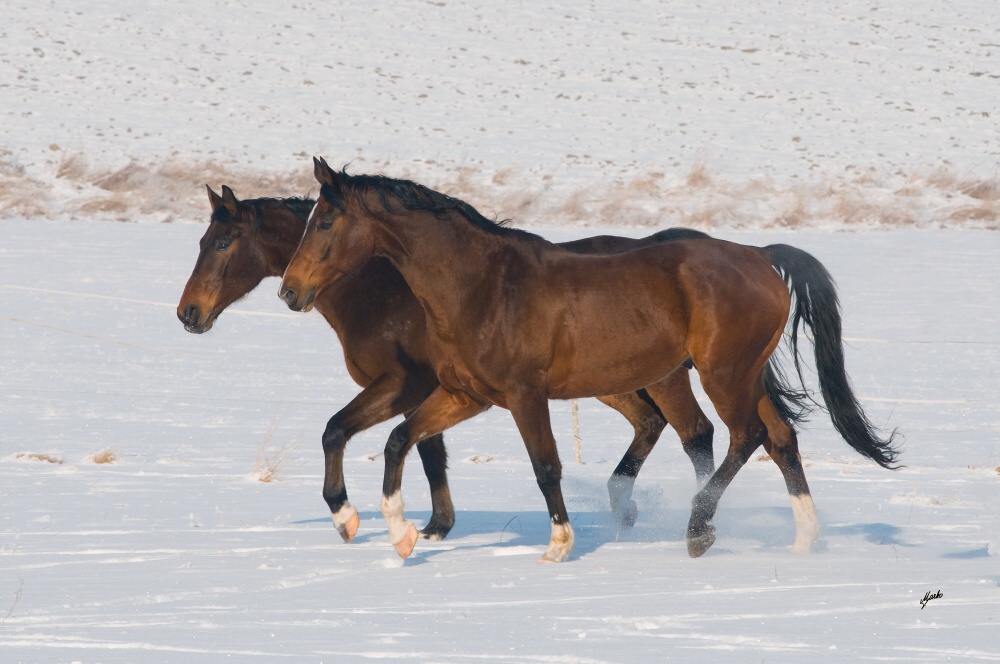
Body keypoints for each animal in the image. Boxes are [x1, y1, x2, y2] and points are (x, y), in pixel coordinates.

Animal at [180, 187, 772, 544]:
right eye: (203, 241)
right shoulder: (441, 391)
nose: (189, 313)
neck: (382, 290)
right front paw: (428, 526)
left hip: (664, 377)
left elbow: (352, 434)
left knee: (697, 431)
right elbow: (420, 449)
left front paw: (364, 519)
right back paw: (632, 513)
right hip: (621, 380)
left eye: (224, 242)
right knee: (664, 425)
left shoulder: (405, 384)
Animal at [280, 158, 900, 564]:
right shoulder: (466, 395)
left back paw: (698, 530)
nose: (290, 291)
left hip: (723, 376)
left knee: (744, 437)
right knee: (778, 438)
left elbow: (545, 466)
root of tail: (760, 256)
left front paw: (559, 545)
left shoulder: (524, 396)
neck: (483, 286)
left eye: (325, 222)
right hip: (737, 376)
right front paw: (400, 535)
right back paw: (802, 539)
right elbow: (398, 439)